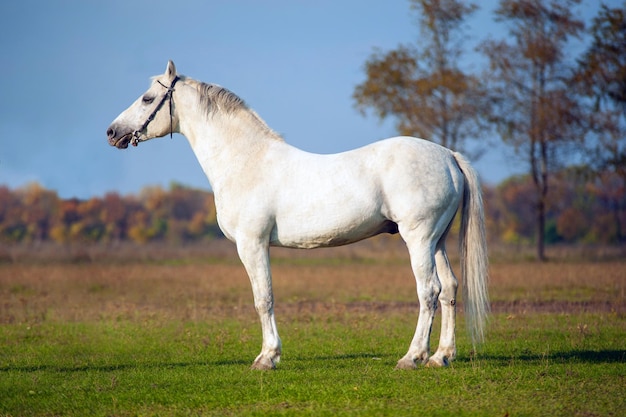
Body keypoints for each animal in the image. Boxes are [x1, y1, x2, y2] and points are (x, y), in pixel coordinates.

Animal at [107, 60, 488, 368]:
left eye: (146, 98)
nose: (112, 132)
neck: (245, 160)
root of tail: (448, 155)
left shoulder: (252, 244)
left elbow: (263, 299)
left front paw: (267, 358)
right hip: (437, 240)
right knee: (449, 289)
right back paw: (441, 357)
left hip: (418, 238)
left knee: (428, 291)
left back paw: (412, 357)